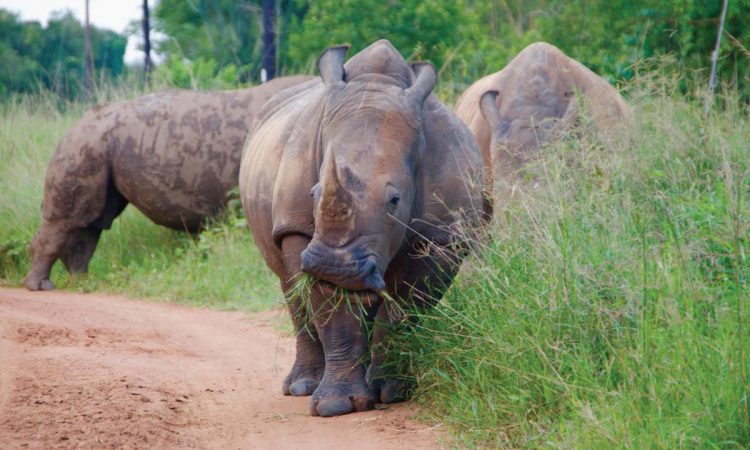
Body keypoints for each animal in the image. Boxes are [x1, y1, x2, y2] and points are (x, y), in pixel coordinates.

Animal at [22, 75, 312, 290]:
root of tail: (78, 121)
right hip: (86, 143)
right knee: (70, 219)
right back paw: (41, 286)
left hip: (97, 144)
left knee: (93, 221)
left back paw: (82, 282)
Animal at [238, 40, 490, 416]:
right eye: (314, 193)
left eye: (395, 200)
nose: (335, 266)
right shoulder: (299, 228)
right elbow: (331, 311)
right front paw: (335, 405)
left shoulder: (441, 237)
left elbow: (405, 311)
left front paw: (394, 392)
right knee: (291, 287)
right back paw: (301, 387)